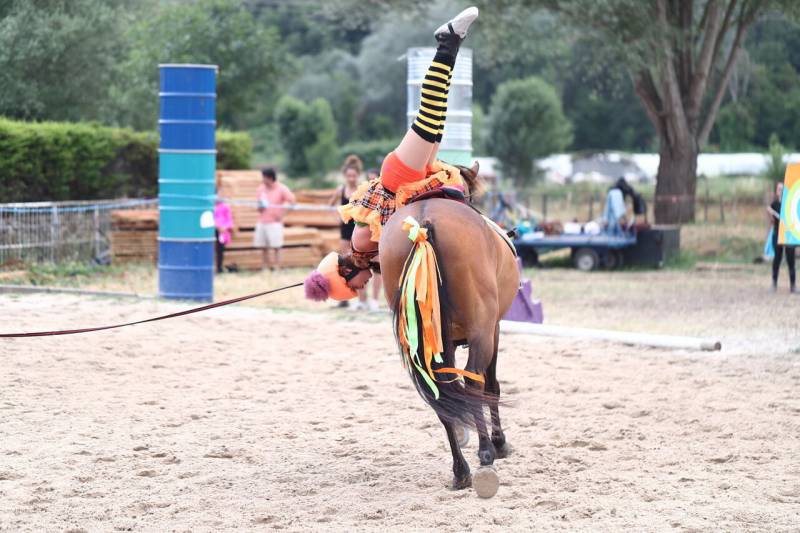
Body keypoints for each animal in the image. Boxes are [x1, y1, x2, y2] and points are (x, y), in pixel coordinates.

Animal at [380, 164, 520, 488]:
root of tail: (422, 225)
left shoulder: (445, 342)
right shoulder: (493, 329)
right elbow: (491, 385)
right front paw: (498, 442)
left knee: (442, 394)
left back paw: (461, 470)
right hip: (482, 331)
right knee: (474, 383)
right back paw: (485, 451)